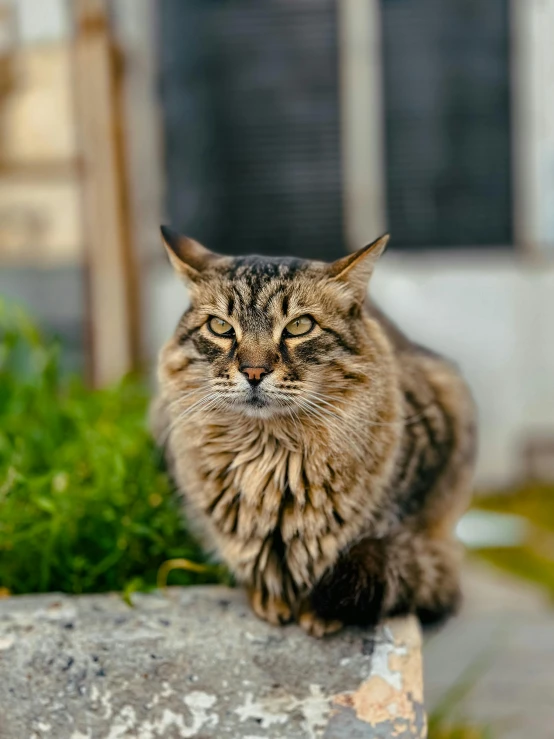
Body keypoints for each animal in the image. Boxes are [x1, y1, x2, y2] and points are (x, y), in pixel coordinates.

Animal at [152, 228, 474, 640]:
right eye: (221, 327)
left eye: (299, 327)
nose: (253, 372)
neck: (270, 456)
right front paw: (269, 599)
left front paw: (318, 612)